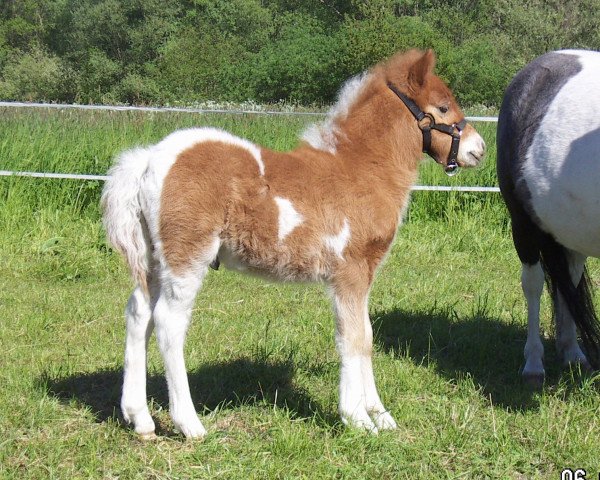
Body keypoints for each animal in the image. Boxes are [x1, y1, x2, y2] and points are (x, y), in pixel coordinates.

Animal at [102, 49, 488, 438]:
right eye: (442, 107)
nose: (479, 149)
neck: (360, 169)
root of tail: (148, 158)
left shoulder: (365, 273)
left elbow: (367, 335)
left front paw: (381, 415)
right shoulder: (349, 271)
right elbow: (353, 338)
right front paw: (357, 418)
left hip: (155, 259)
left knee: (139, 312)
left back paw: (140, 418)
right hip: (187, 256)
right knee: (168, 321)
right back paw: (190, 424)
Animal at [496, 49, 600, 386]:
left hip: (570, 231)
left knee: (570, 281)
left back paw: (573, 353)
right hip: (523, 225)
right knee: (534, 283)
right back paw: (534, 364)